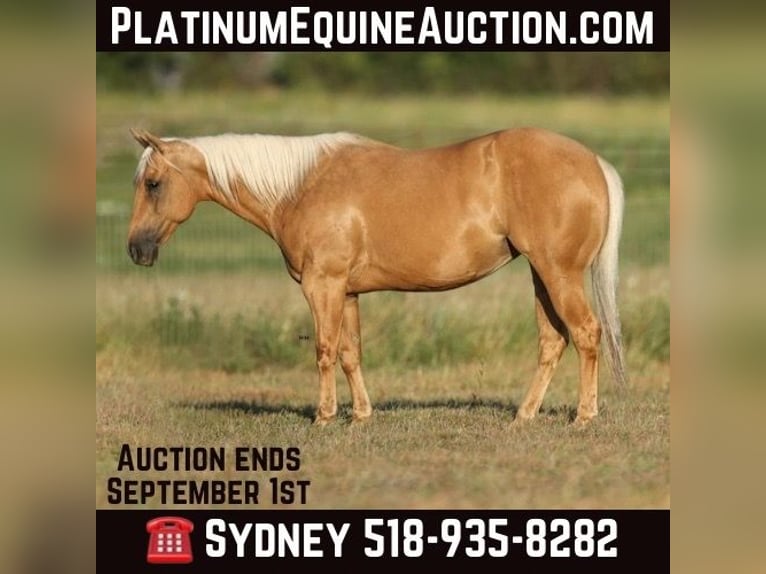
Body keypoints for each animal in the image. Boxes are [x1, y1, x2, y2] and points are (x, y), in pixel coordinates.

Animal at [126, 126, 626, 426]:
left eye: (153, 183)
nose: (136, 250)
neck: (298, 186)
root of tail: (593, 162)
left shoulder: (322, 285)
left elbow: (325, 350)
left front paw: (324, 417)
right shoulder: (346, 291)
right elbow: (350, 352)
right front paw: (361, 415)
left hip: (559, 274)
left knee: (586, 333)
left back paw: (584, 416)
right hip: (542, 276)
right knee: (553, 341)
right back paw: (524, 416)